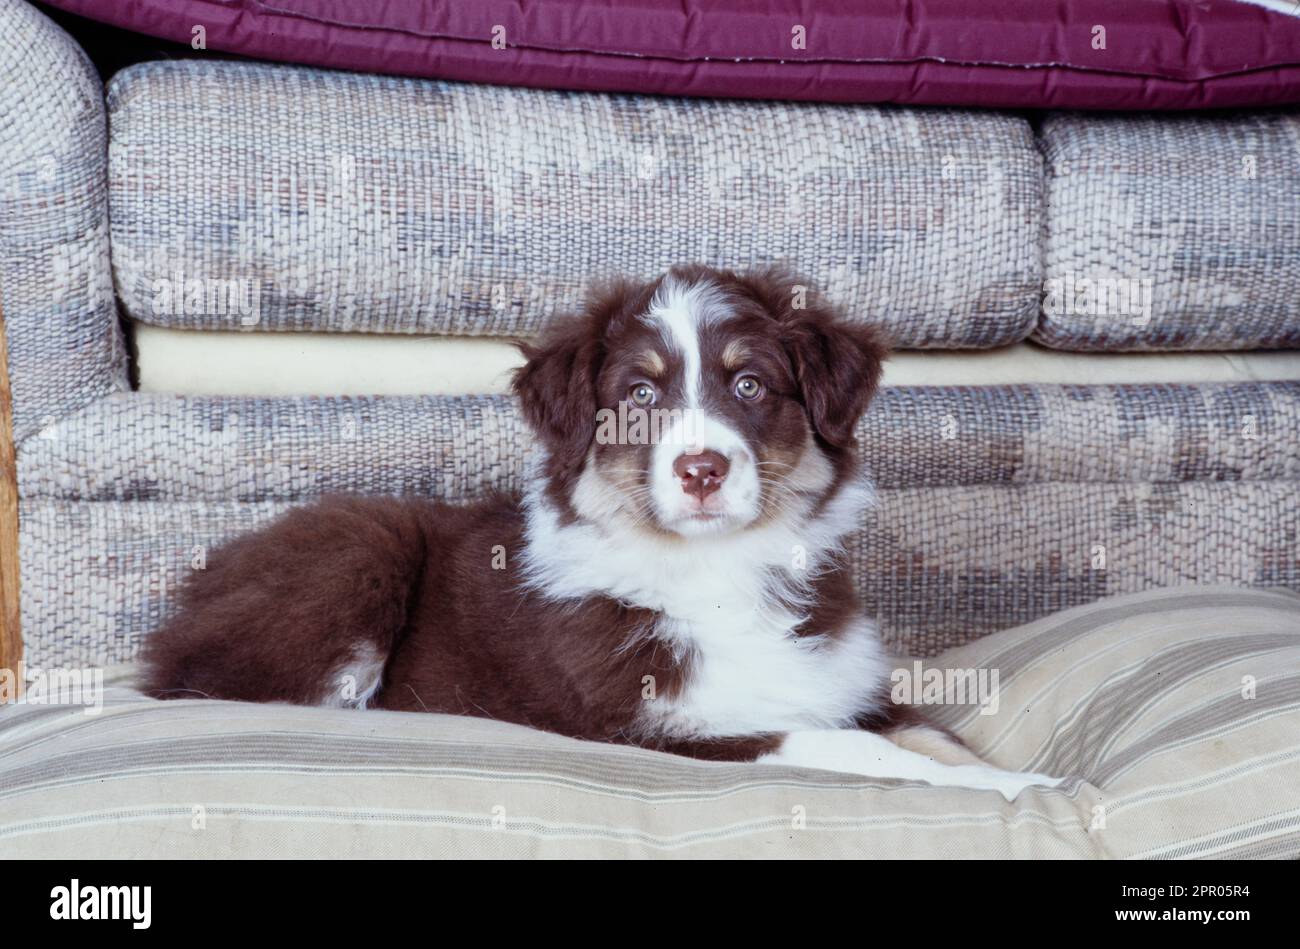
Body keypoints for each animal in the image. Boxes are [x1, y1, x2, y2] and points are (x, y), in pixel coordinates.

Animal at [144, 266, 1055, 800]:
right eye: (641, 396)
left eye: (750, 384)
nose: (700, 469)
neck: (718, 570)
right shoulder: (657, 729)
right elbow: (852, 750)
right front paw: (1000, 795)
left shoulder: (851, 688)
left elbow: (936, 734)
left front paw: (1033, 783)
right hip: (360, 541)